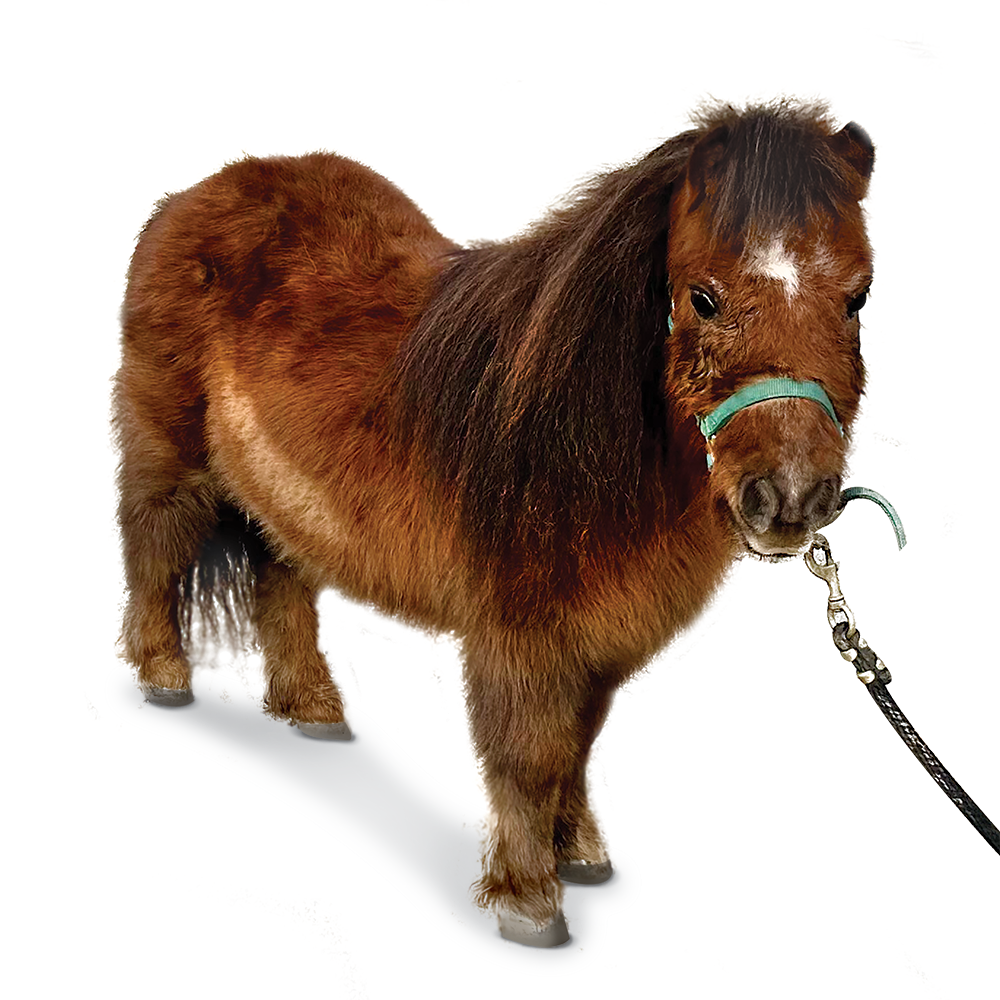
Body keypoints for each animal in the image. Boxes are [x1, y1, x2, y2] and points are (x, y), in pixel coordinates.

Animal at [114, 100, 875, 946]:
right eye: (703, 298)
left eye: (858, 297)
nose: (792, 499)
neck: (559, 434)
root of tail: (193, 196)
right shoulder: (520, 636)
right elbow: (528, 756)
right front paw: (529, 901)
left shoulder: (597, 644)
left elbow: (578, 746)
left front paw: (580, 853)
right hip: (168, 458)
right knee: (154, 547)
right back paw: (164, 676)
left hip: (283, 492)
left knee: (281, 579)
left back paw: (312, 709)